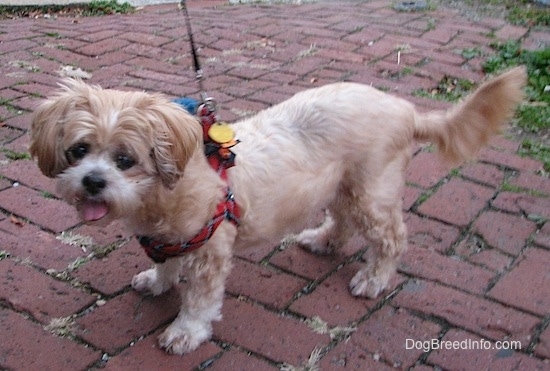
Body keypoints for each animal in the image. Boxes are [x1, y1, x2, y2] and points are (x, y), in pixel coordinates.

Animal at [29, 68, 528, 356]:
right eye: (79, 150)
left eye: (126, 159)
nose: (93, 181)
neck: (164, 195)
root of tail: (406, 110)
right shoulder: (172, 239)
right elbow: (167, 265)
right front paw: (158, 281)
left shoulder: (209, 251)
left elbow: (199, 300)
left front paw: (186, 332)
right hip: (342, 186)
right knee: (342, 223)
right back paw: (323, 241)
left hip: (370, 193)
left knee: (391, 238)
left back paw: (373, 278)